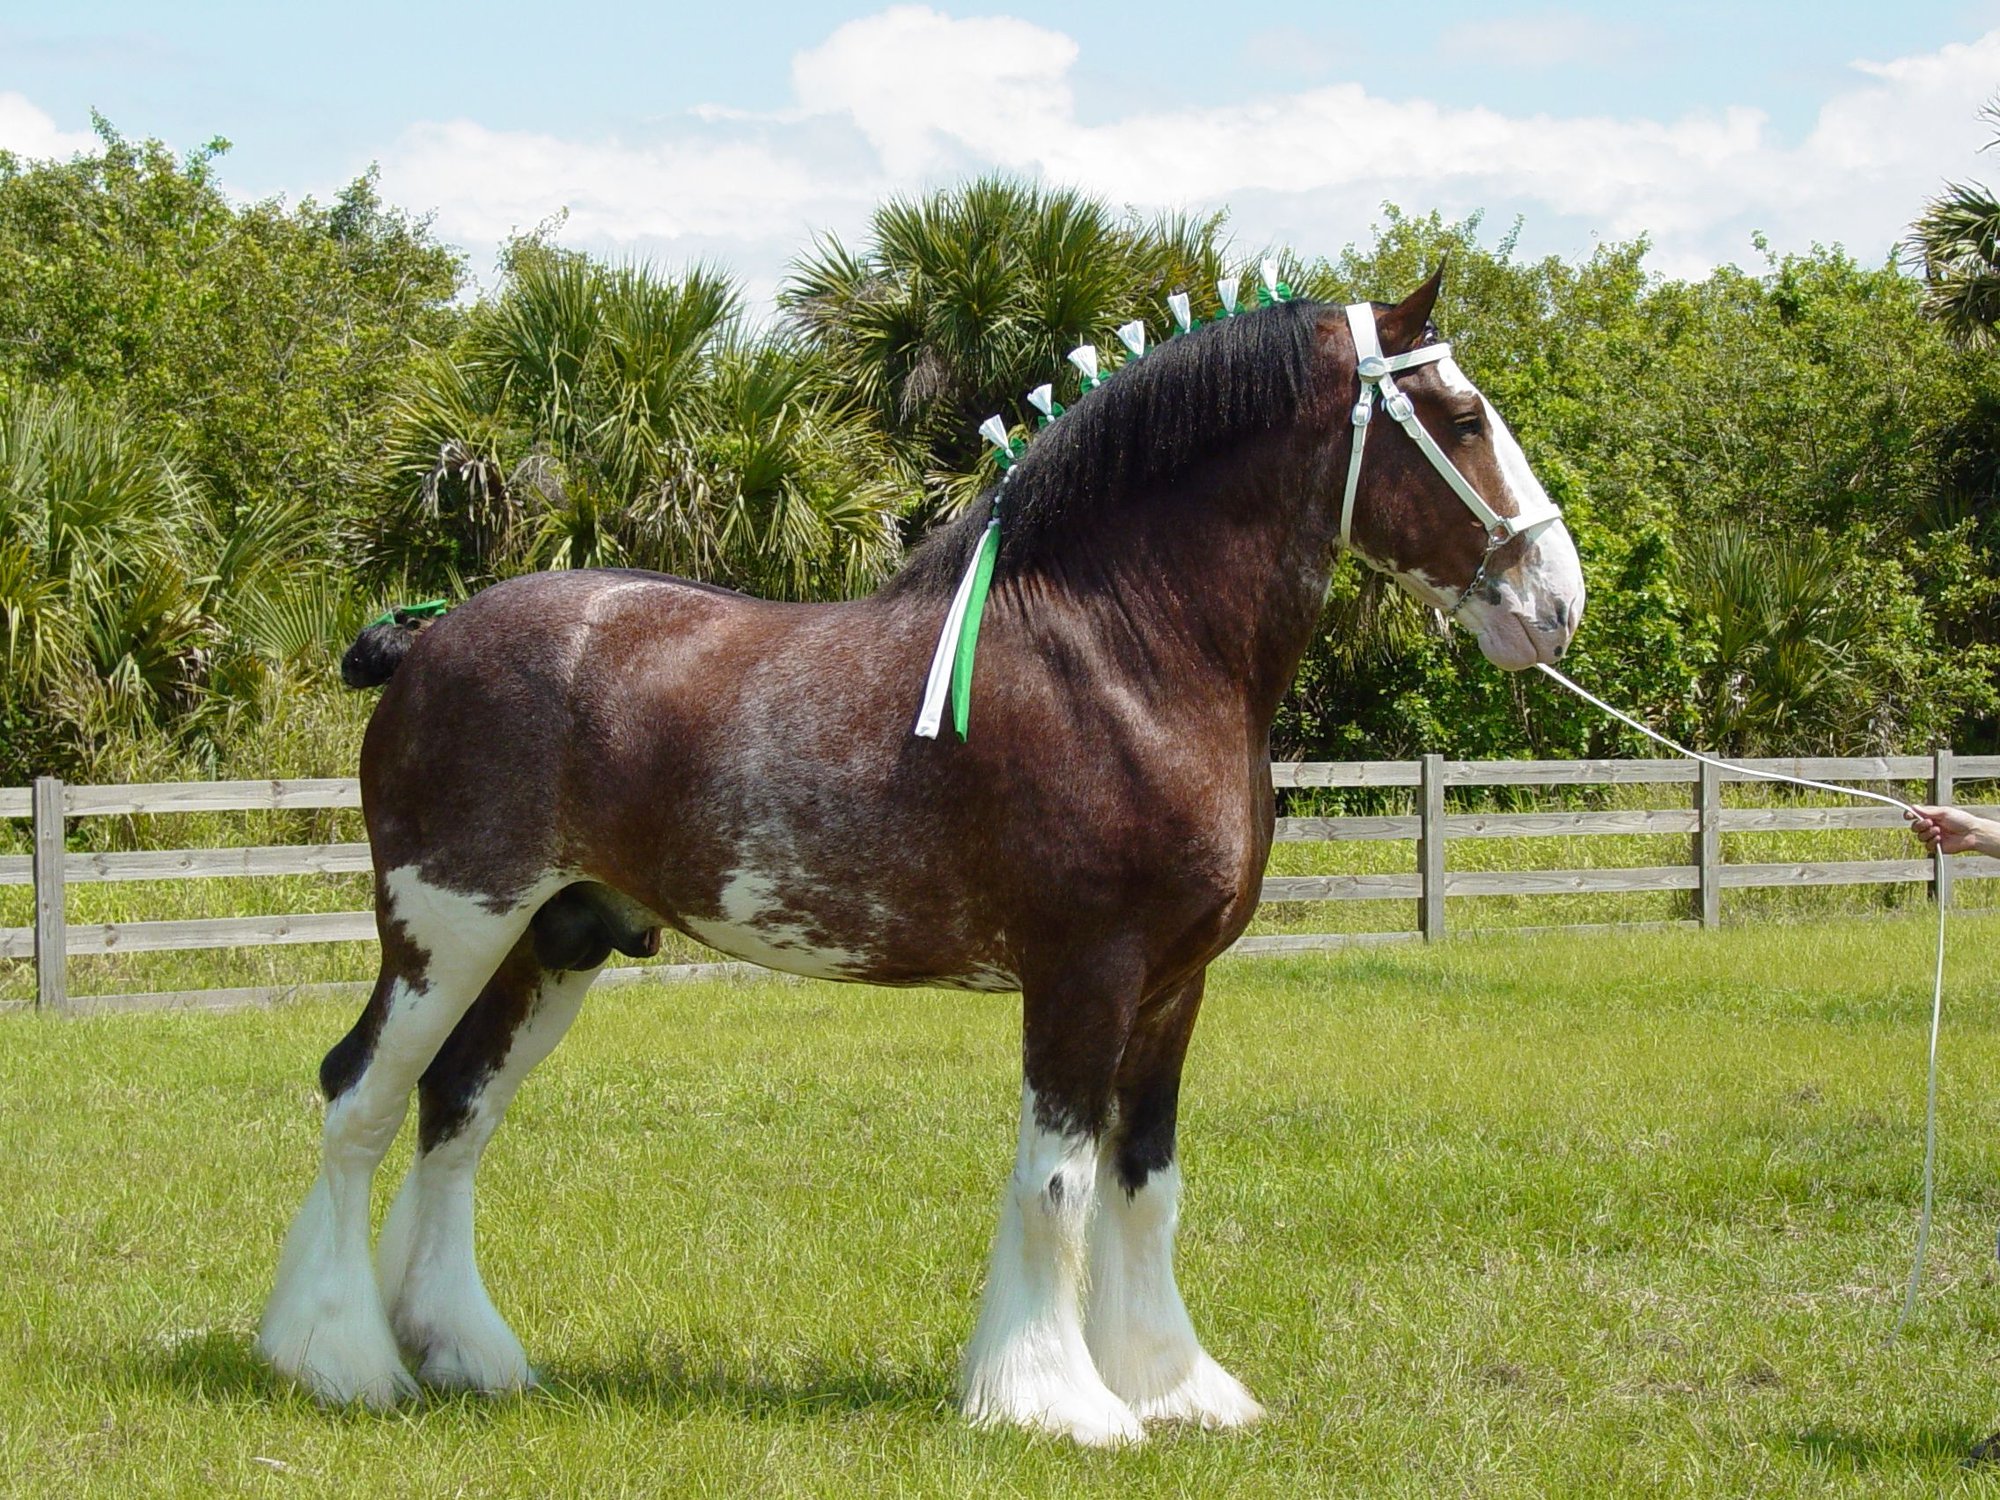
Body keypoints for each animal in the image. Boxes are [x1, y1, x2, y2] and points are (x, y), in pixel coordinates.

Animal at [257, 270, 1584, 1446]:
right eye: (1461, 419)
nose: (1554, 601)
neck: (1122, 656)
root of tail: (429, 638)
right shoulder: (1084, 973)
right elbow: (1056, 1185)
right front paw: (1052, 1403)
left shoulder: (1173, 986)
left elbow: (1143, 1181)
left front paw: (1169, 1387)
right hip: (446, 929)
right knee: (359, 1095)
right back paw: (333, 1358)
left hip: (551, 943)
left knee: (453, 1111)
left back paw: (461, 1351)